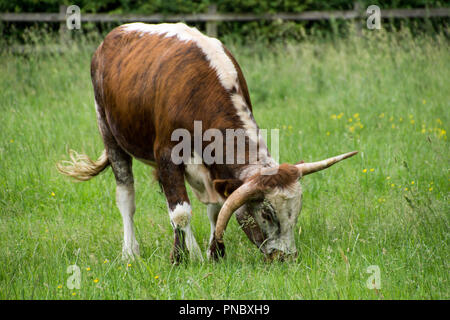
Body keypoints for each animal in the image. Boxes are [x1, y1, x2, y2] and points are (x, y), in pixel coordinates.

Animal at [57, 21, 358, 262]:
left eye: (295, 212)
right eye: (267, 214)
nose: (286, 258)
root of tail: (112, 36)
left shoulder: (214, 169)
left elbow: (216, 208)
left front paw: (214, 253)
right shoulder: (167, 156)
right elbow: (180, 212)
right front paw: (181, 258)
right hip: (109, 133)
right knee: (127, 198)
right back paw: (130, 252)